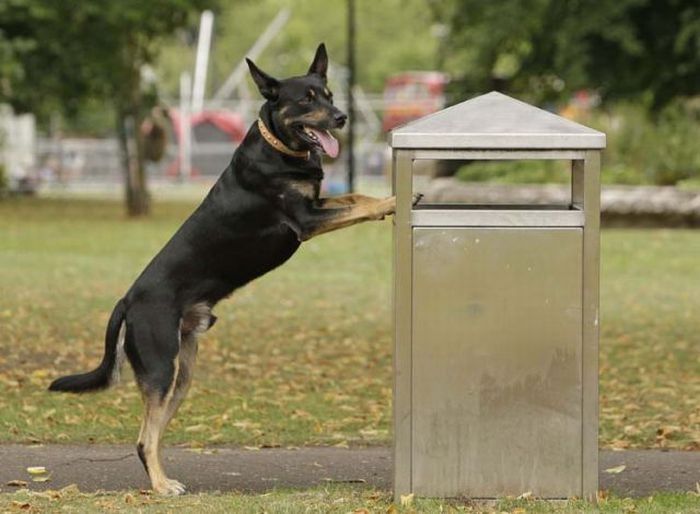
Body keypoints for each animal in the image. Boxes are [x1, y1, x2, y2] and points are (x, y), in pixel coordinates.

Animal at [50, 44, 396, 492]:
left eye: (330, 95)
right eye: (306, 100)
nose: (341, 118)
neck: (278, 148)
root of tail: (128, 300)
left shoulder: (317, 205)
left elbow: (356, 197)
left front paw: (383, 200)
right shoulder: (305, 220)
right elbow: (358, 205)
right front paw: (392, 202)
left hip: (181, 376)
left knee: (152, 435)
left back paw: (165, 480)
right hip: (160, 367)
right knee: (144, 438)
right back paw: (162, 486)